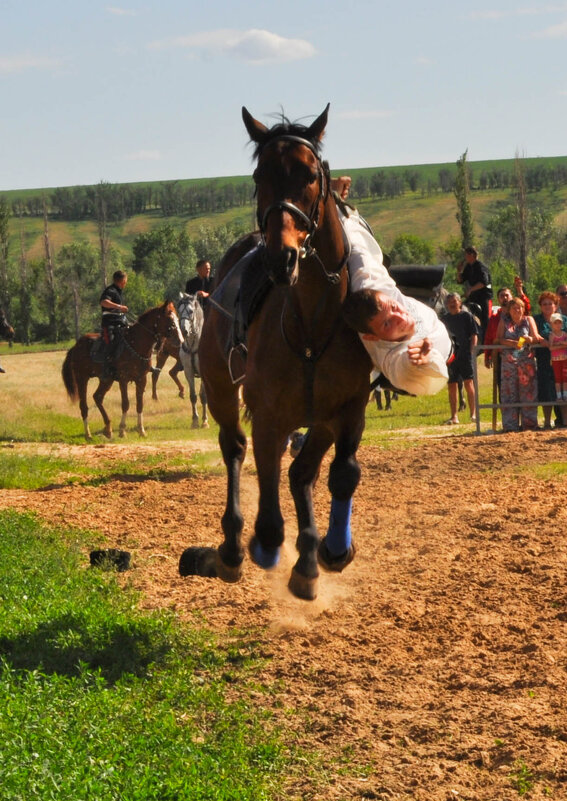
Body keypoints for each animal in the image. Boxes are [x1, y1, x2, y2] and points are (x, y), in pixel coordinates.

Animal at [61, 298, 182, 438]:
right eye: (169, 319)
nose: (180, 340)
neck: (135, 345)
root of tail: (75, 347)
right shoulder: (124, 379)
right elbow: (125, 404)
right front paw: (122, 430)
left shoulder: (141, 379)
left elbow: (139, 404)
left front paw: (141, 430)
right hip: (82, 378)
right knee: (84, 405)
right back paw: (88, 434)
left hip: (106, 380)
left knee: (97, 397)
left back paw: (108, 428)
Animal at [196, 104, 372, 600]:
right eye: (260, 175)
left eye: (311, 175)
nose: (282, 256)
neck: (311, 321)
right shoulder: (269, 415)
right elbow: (270, 505)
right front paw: (266, 545)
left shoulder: (349, 409)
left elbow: (342, 473)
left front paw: (331, 550)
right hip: (220, 389)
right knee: (235, 448)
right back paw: (235, 546)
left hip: (321, 419)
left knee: (302, 473)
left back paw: (310, 557)